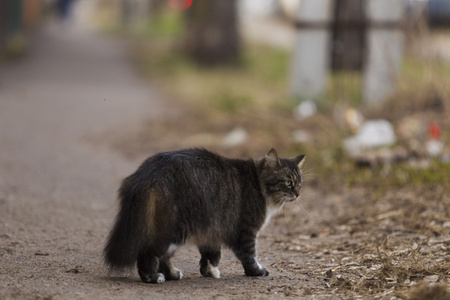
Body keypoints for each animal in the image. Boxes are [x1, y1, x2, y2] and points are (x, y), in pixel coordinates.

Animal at [103, 148, 304, 284]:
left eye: (300, 183)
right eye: (288, 182)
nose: (298, 194)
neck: (257, 182)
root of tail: (146, 175)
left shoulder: (212, 229)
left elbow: (212, 255)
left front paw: (208, 271)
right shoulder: (246, 231)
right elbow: (250, 256)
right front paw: (257, 271)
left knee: (163, 257)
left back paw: (172, 275)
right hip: (175, 230)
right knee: (148, 253)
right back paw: (153, 277)